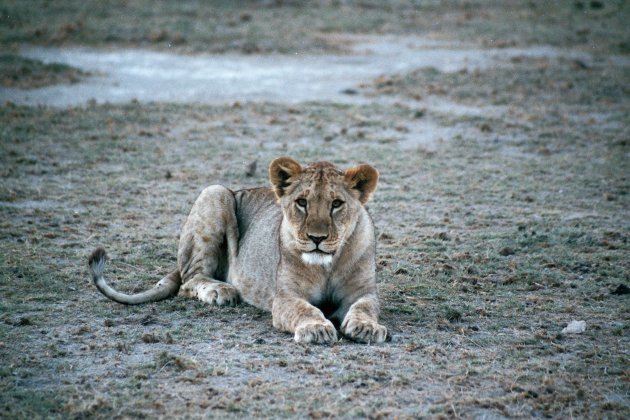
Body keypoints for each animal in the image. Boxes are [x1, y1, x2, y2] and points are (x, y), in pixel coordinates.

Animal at [87, 156, 386, 342]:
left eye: (336, 204)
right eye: (302, 202)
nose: (316, 238)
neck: (327, 264)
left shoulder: (362, 291)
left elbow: (365, 306)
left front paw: (367, 327)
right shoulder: (285, 297)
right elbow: (304, 310)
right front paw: (316, 328)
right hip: (215, 192)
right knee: (188, 280)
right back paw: (221, 291)